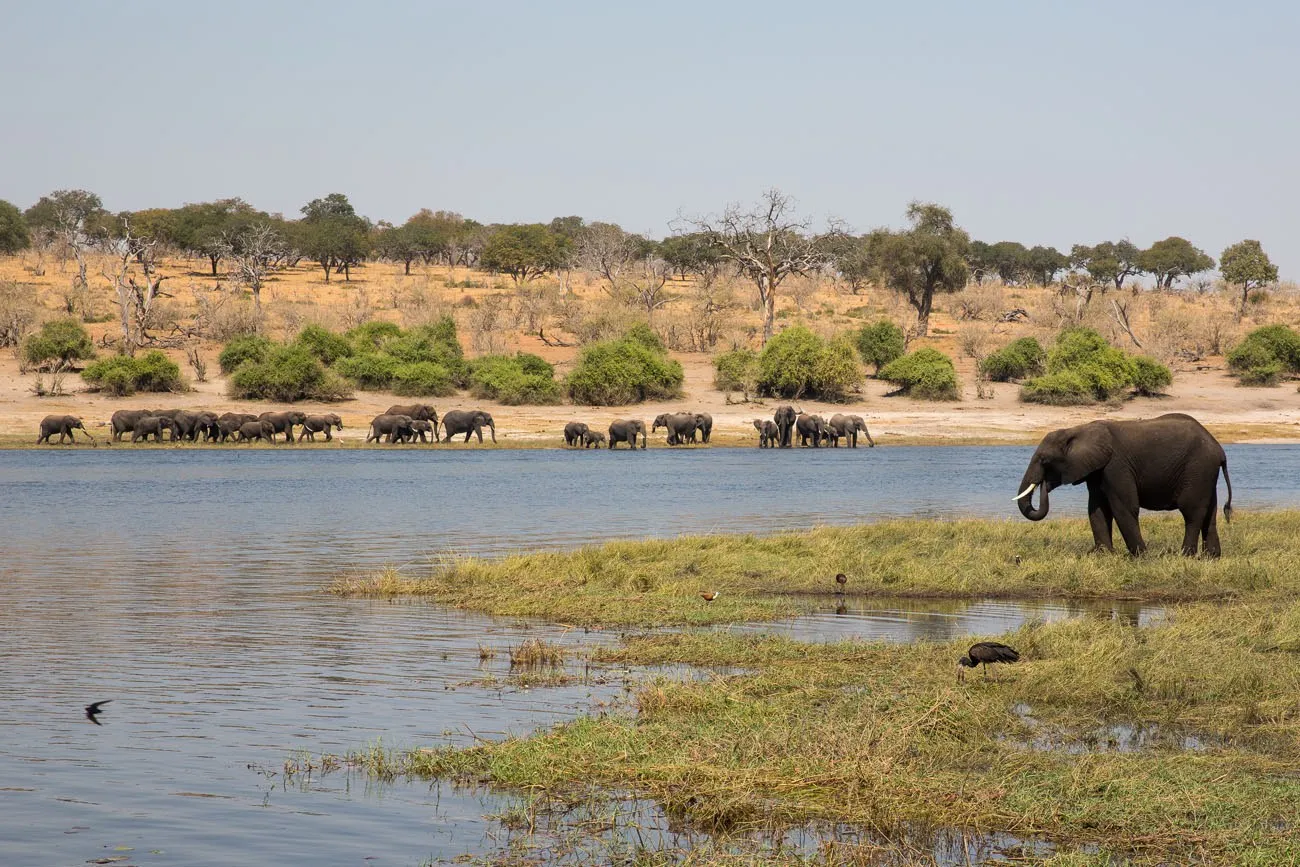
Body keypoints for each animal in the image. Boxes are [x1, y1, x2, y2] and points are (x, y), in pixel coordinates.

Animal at [1008, 413, 1232, 556]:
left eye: (1045, 460)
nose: (1043, 484)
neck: (1078, 430)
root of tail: (1219, 450)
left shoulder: (1116, 465)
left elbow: (1124, 507)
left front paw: (1140, 557)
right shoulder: (1097, 470)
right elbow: (1097, 509)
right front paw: (1102, 555)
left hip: (1198, 468)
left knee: (1192, 513)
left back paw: (1185, 555)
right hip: (1205, 474)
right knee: (1210, 513)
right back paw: (1212, 557)